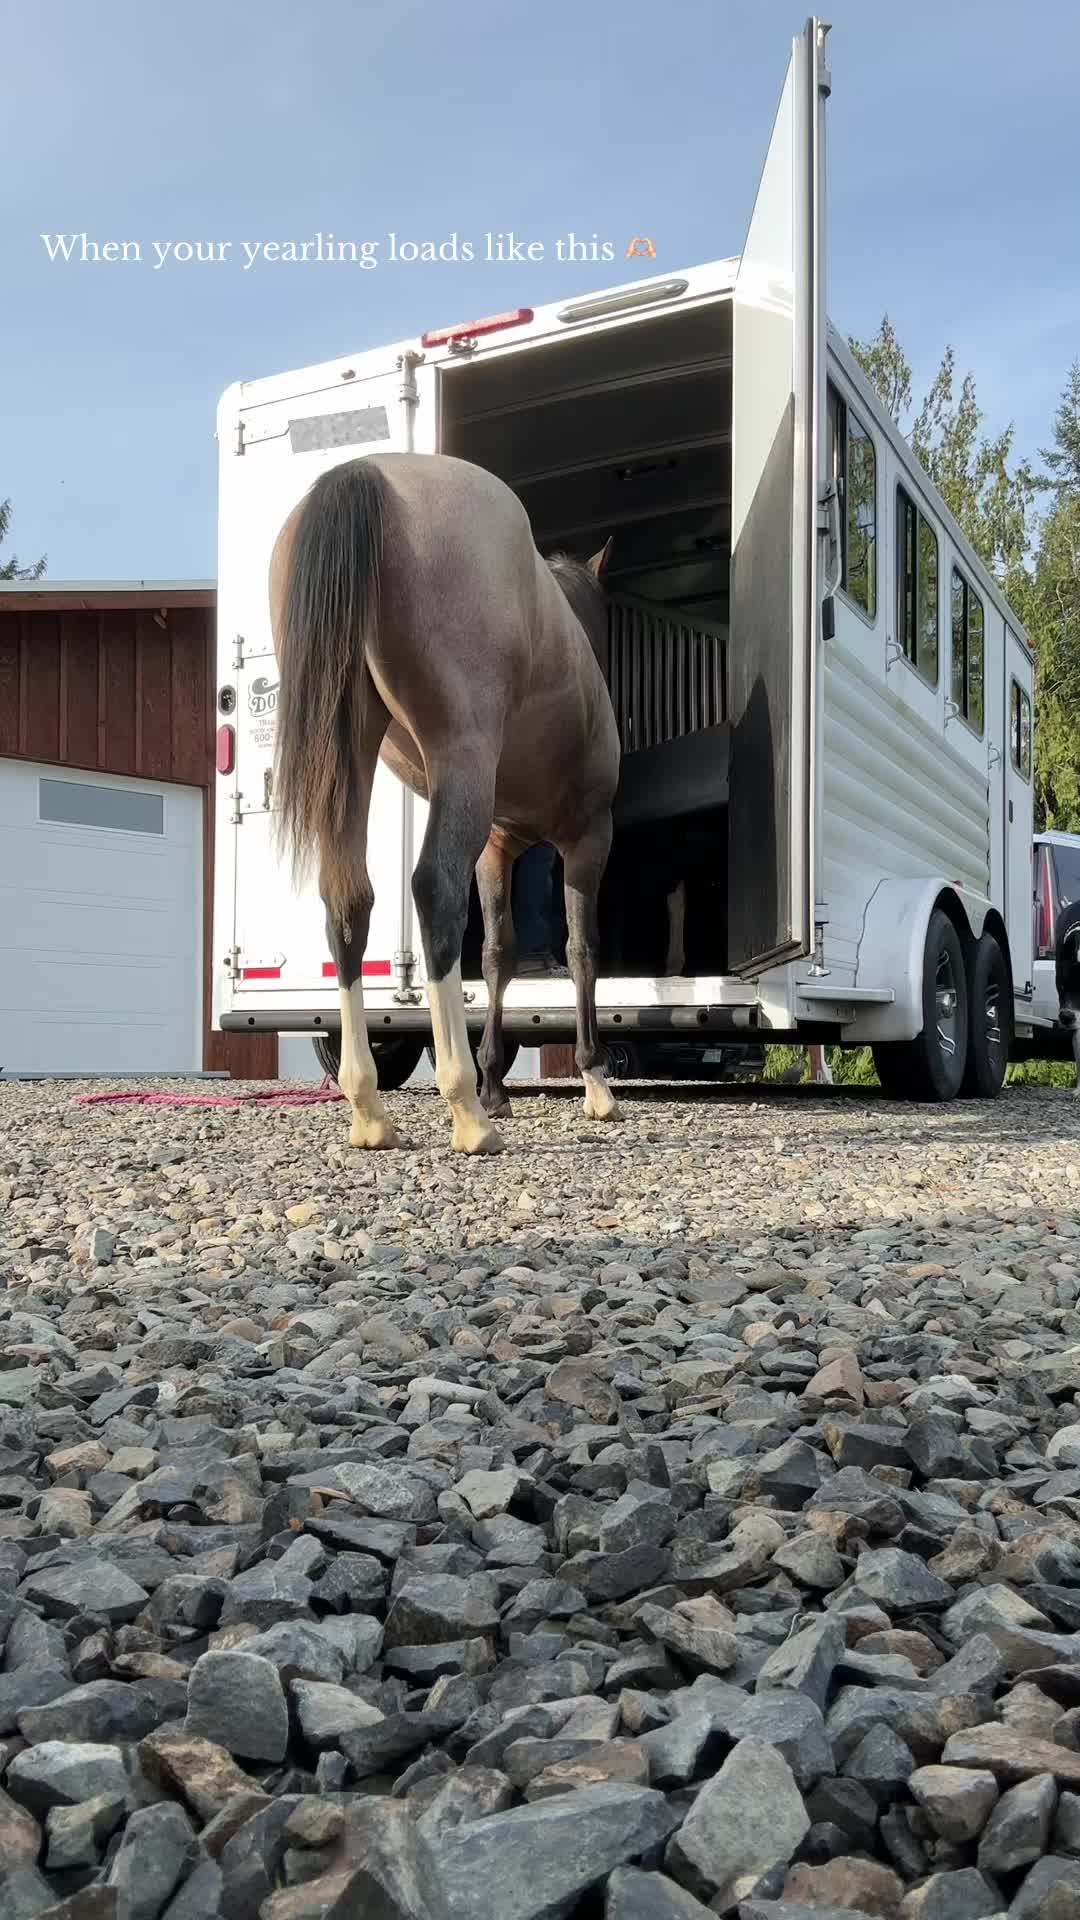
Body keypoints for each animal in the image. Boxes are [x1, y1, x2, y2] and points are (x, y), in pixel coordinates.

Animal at [269, 451, 622, 1154]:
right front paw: (594, 1082)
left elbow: (497, 954)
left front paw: (497, 1082)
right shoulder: (587, 839)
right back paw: (466, 1112)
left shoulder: (496, 847)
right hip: (458, 752)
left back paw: (371, 1110)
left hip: (351, 750)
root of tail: (365, 474)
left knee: (348, 900)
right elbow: (581, 947)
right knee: (434, 890)